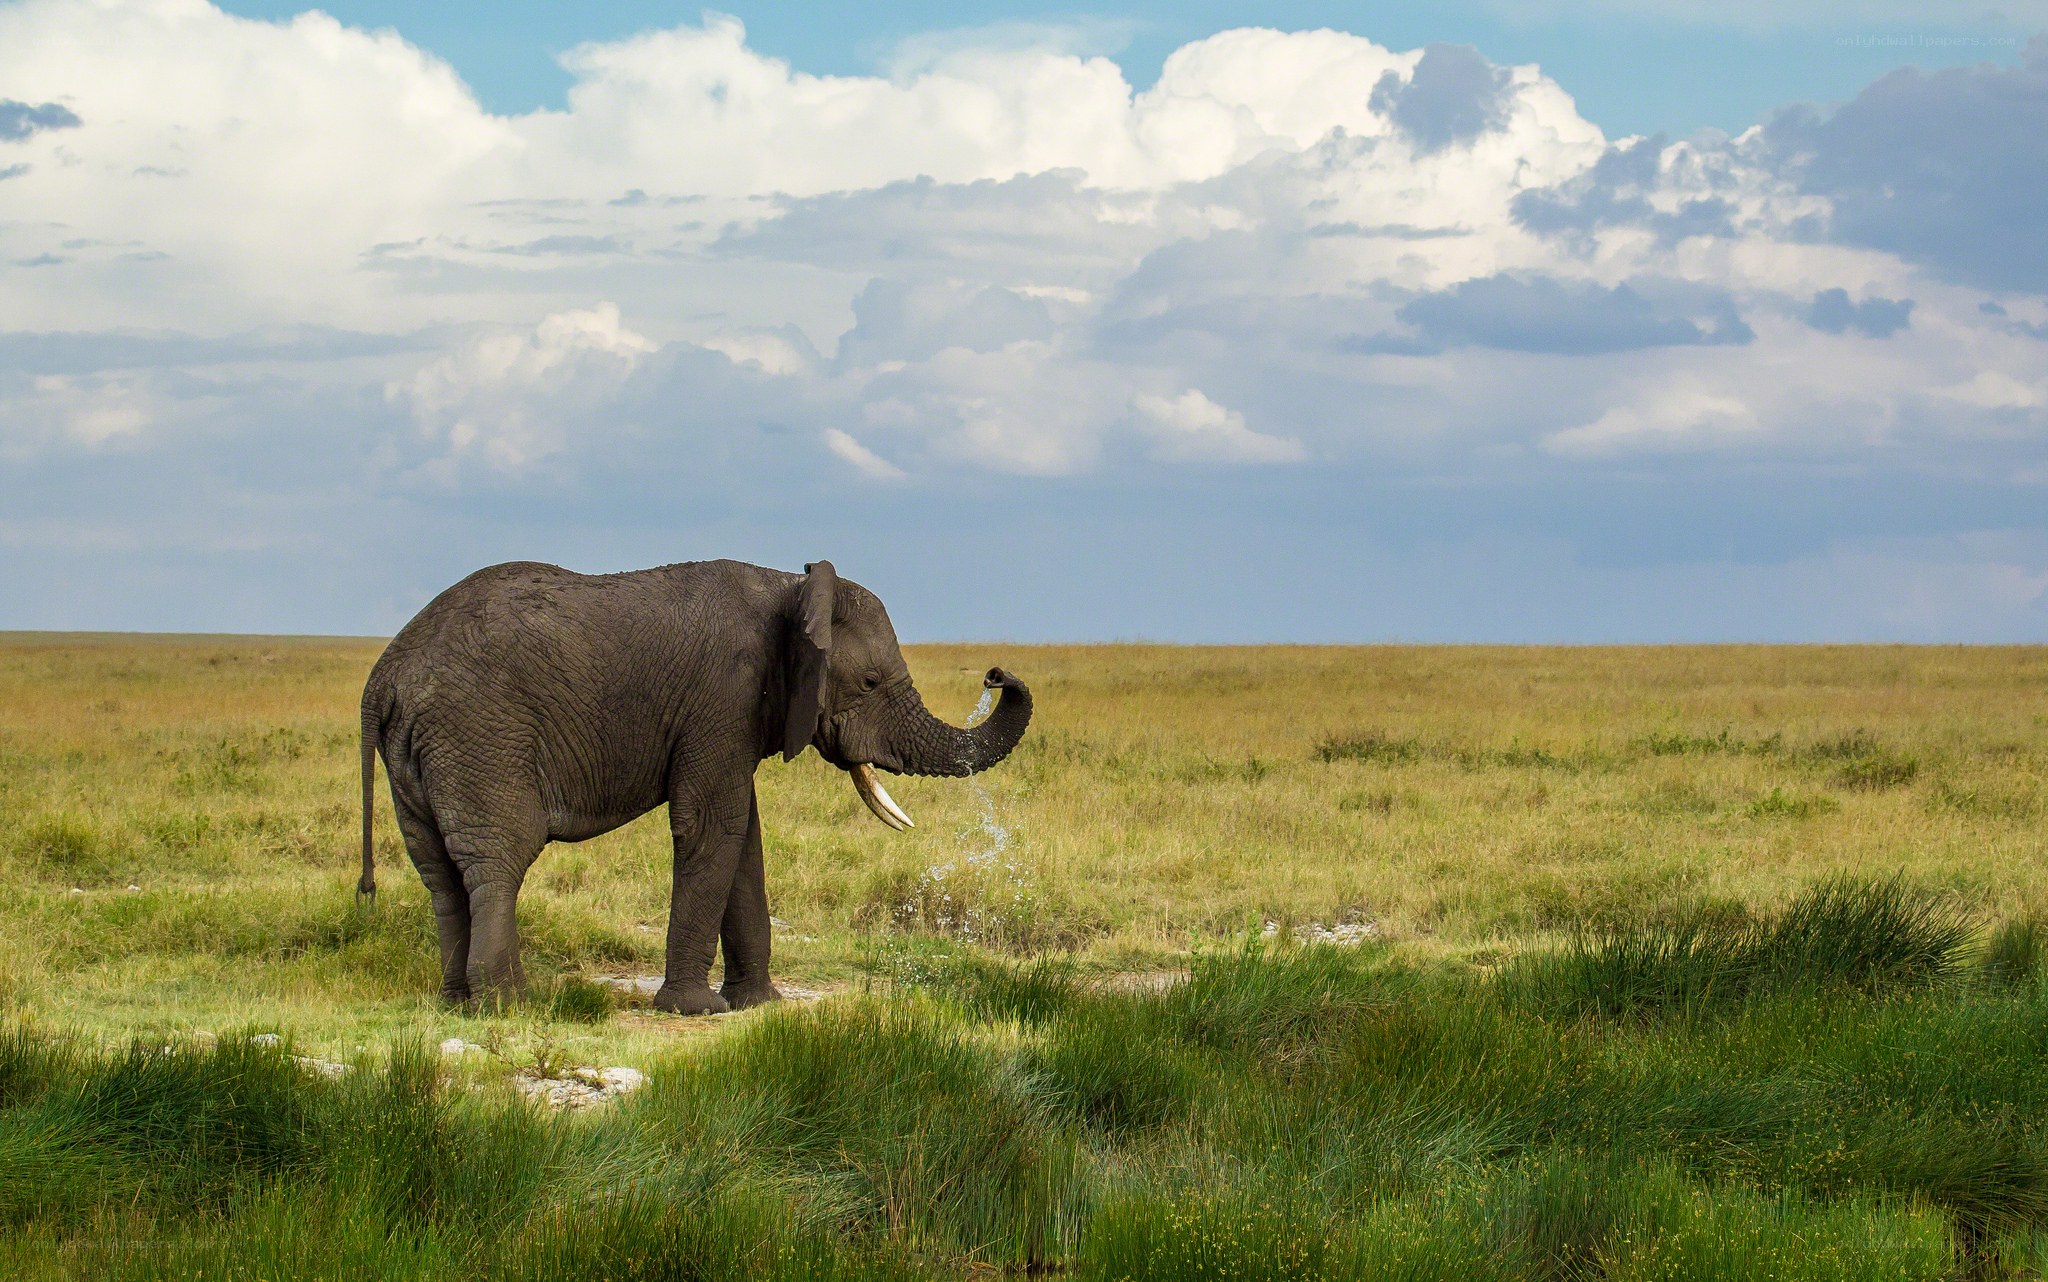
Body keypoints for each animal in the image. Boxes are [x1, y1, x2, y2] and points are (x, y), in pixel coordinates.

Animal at [355, 558, 1031, 1015]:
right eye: (868, 683)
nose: (996, 674)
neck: (790, 586)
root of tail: (383, 678)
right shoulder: (722, 696)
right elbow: (713, 825)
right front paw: (696, 1009)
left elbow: (743, 837)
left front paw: (759, 1003)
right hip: (480, 738)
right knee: (498, 860)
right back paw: (511, 1005)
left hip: (417, 757)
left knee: (440, 873)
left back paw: (456, 1002)